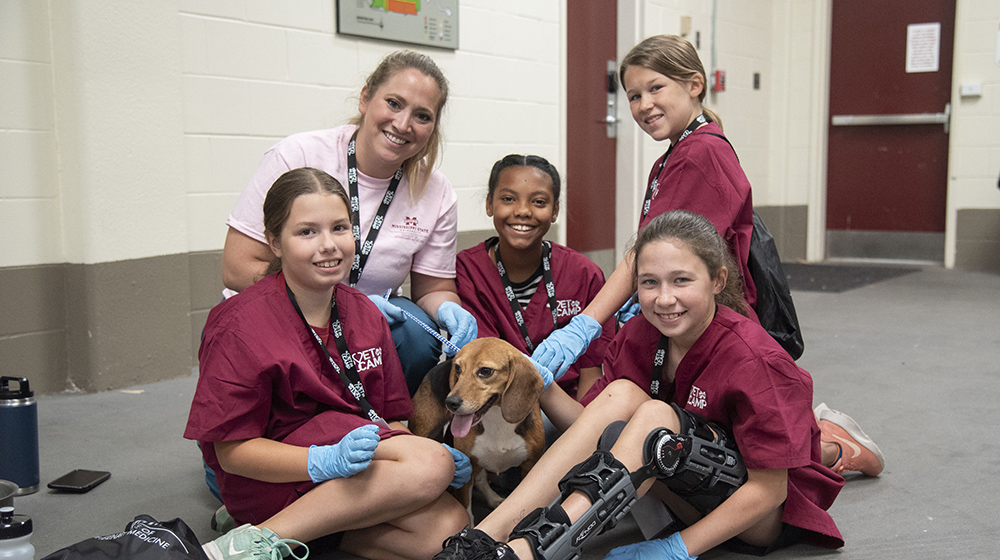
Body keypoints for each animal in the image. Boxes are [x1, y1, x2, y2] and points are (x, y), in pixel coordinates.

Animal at [408, 336, 544, 512]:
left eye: (485, 371)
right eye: (458, 368)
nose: (450, 402)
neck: (496, 417)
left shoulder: (530, 464)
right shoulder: (467, 468)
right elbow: (467, 509)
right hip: (423, 431)